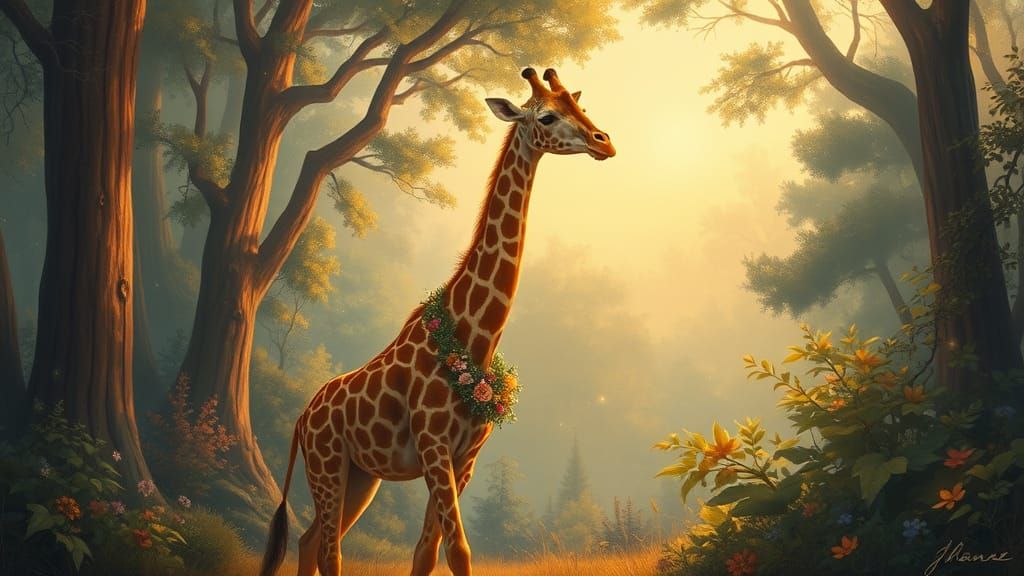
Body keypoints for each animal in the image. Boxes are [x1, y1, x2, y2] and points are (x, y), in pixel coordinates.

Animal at [259, 67, 616, 576]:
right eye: (547, 115)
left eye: (580, 106)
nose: (605, 142)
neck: (472, 339)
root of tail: (301, 419)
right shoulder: (433, 447)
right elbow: (459, 550)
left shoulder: (465, 456)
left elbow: (427, 552)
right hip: (327, 464)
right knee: (329, 549)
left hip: (361, 476)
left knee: (310, 542)